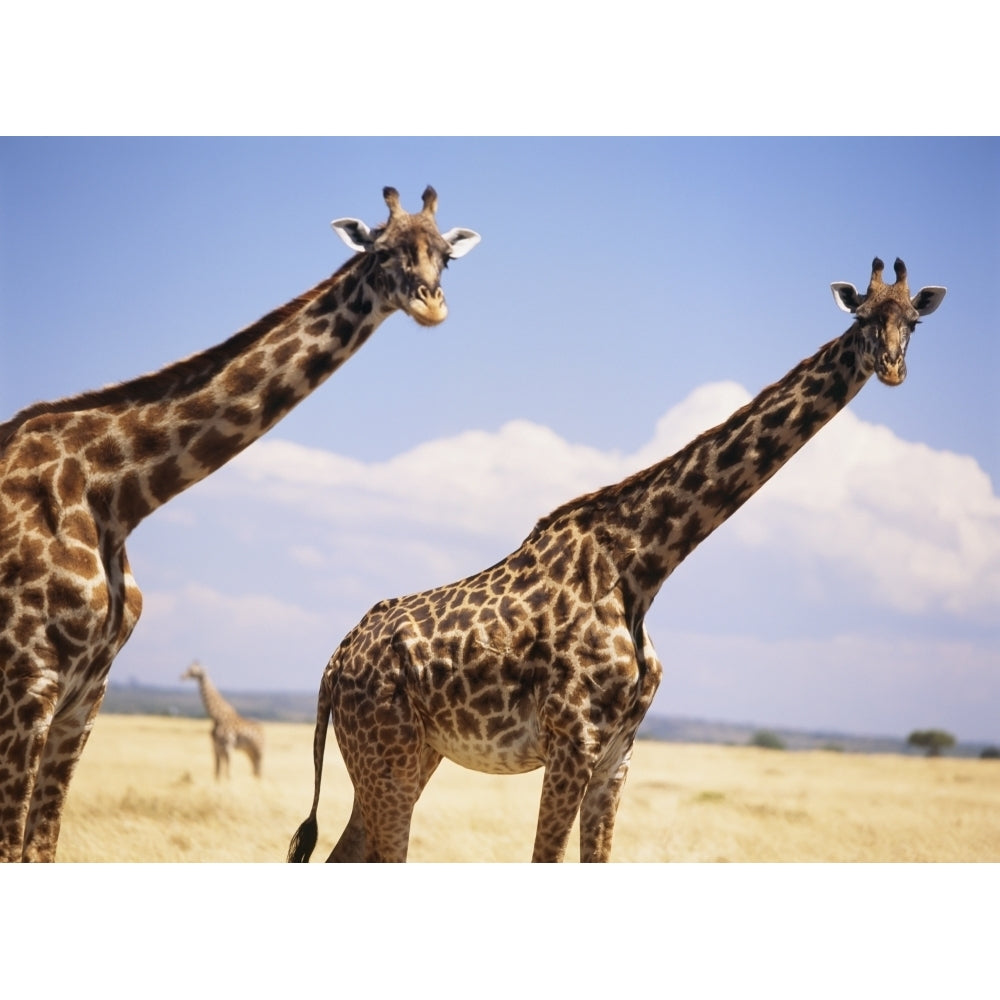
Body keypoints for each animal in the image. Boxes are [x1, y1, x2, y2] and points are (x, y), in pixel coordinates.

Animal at [0, 188, 482, 860]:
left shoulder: (84, 694)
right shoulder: (29, 680)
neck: (113, 494)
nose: (430, 303)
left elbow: (41, 847)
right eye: (382, 250)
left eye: (445, 256)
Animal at [290, 256, 944, 860]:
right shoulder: (572, 742)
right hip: (388, 756)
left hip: (411, 755)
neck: (645, 567)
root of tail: (332, 664)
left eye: (912, 320)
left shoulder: (617, 752)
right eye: (861, 316)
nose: (892, 367)